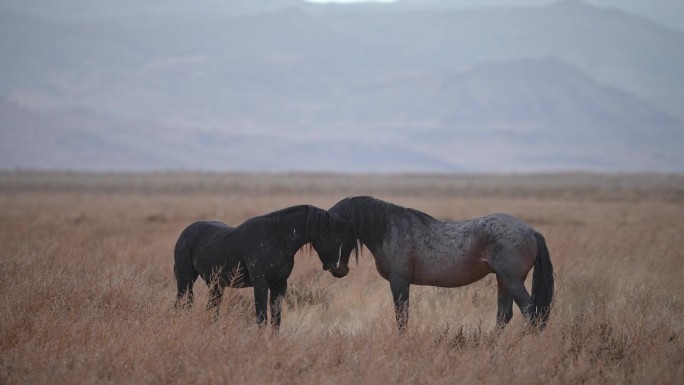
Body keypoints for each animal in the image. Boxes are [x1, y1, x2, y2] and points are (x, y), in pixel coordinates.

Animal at [171, 204, 352, 328]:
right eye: (337, 237)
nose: (342, 270)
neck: (276, 239)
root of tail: (185, 233)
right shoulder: (261, 284)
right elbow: (262, 318)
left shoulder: (280, 284)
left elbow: (276, 320)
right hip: (185, 281)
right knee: (182, 303)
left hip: (215, 284)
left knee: (211, 309)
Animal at [328, 196, 556, 328]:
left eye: (336, 230)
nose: (336, 269)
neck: (390, 230)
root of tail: (532, 231)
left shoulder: (399, 281)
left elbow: (402, 317)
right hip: (503, 280)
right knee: (504, 315)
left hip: (513, 280)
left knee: (530, 311)